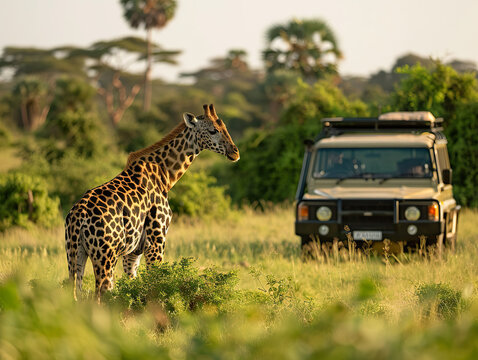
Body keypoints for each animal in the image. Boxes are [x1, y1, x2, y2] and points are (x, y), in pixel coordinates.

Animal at [65, 102, 241, 300]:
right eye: (212, 130)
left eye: (225, 128)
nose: (235, 152)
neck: (165, 175)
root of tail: (78, 216)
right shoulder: (156, 241)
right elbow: (155, 285)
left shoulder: (133, 252)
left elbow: (132, 286)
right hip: (105, 257)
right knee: (101, 295)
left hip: (75, 254)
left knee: (76, 293)